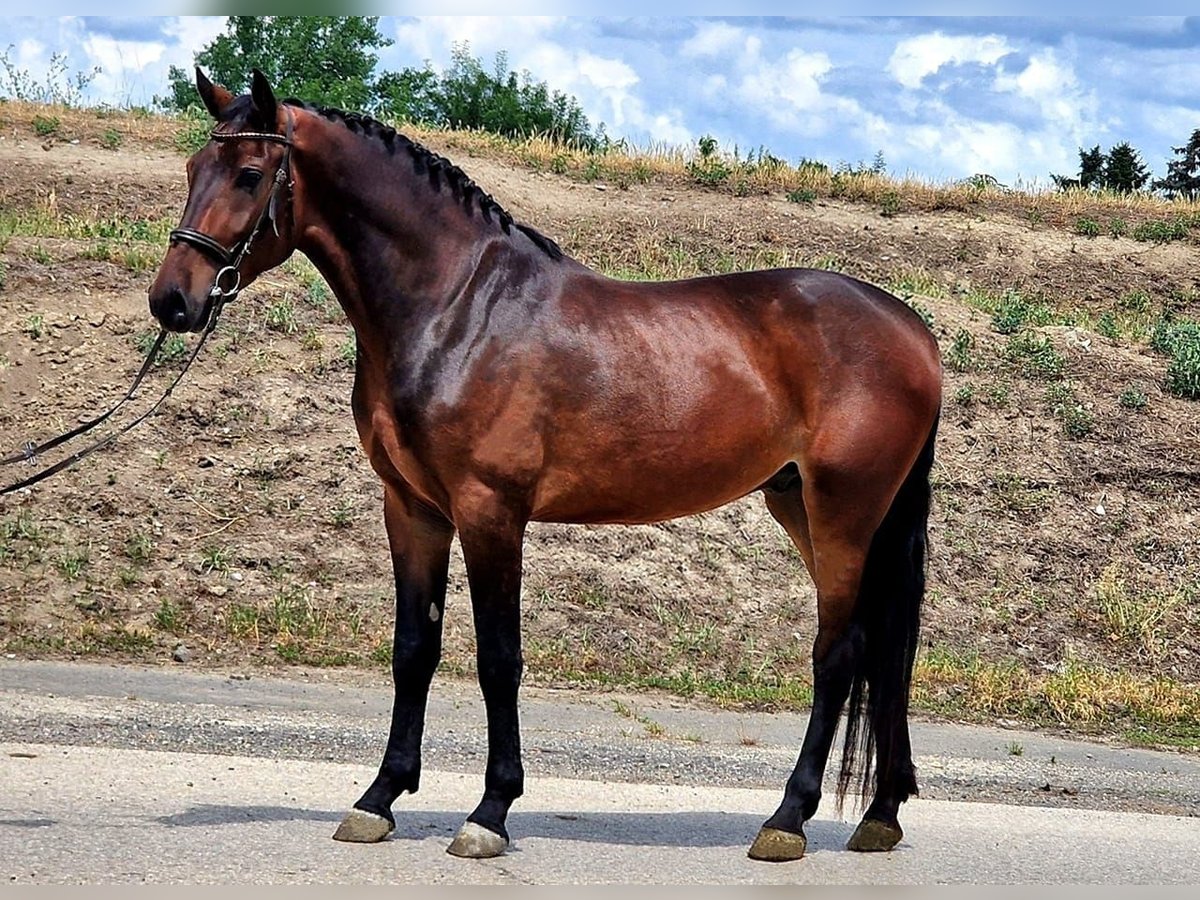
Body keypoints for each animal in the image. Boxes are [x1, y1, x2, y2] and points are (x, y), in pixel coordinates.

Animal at [145, 68, 940, 859]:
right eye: (191, 169)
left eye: (250, 174)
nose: (172, 301)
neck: (458, 308)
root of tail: (913, 330)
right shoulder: (413, 509)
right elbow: (414, 650)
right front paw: (379, 799)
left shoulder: (490, 511)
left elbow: (499, 659)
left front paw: (489, 811)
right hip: (801, 504)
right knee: (881, 650)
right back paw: (881, 814)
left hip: (843, 513)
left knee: (839, 654)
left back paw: (786, 819)